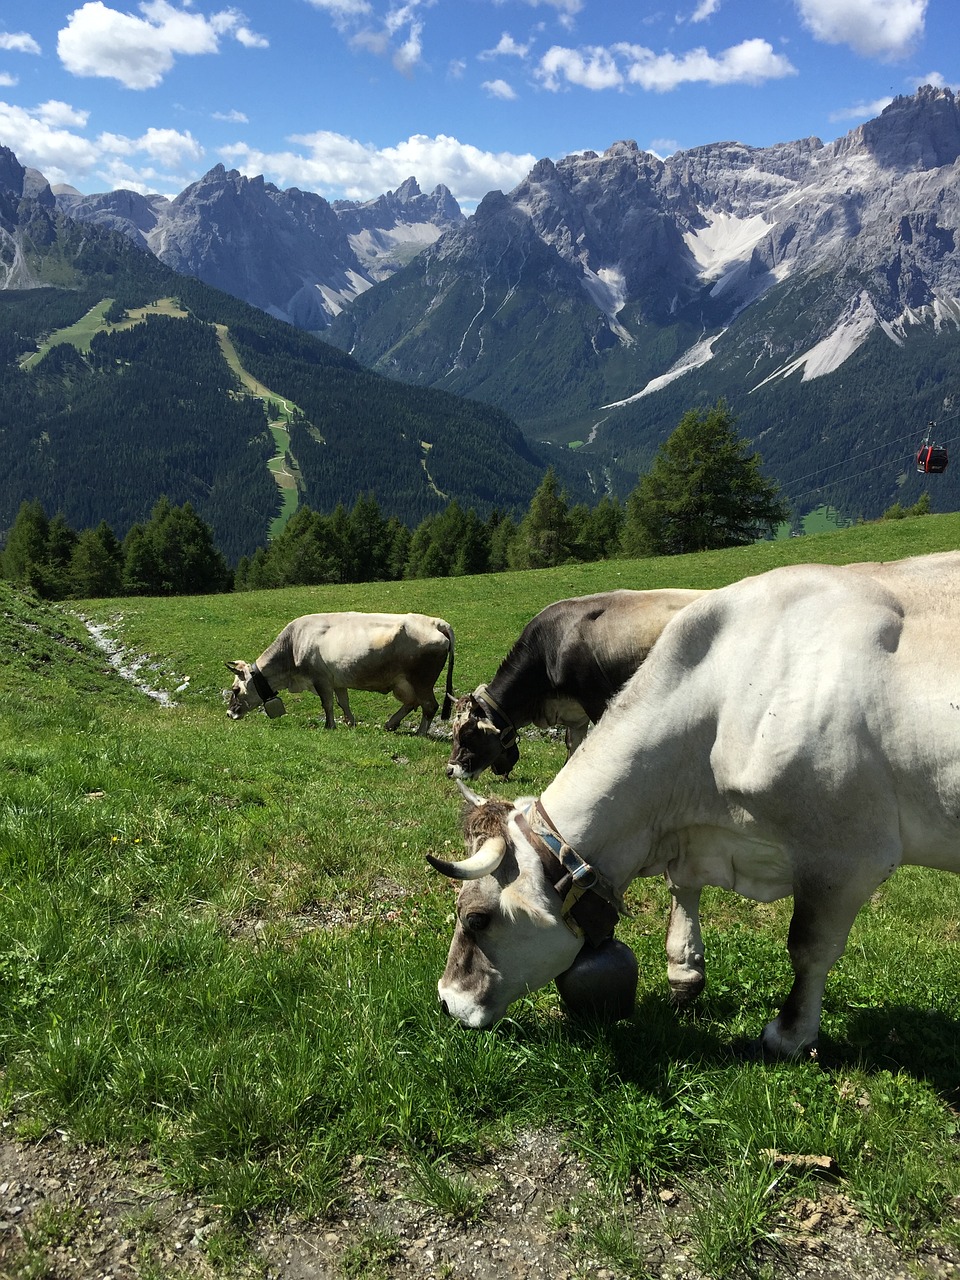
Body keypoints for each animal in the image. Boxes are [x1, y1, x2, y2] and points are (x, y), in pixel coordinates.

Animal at [225, 611, 455, 737]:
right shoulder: (338, 681)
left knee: (429, 705)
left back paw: (421, 732)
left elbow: (327, 704)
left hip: (421, 680)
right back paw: (390, 724)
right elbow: (342, 702)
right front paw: (350, 723)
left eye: (235, 689)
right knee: (412, 702)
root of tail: (436, 622)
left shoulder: (321, 679)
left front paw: (329, 726)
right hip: (403, 683)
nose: (229, 713)